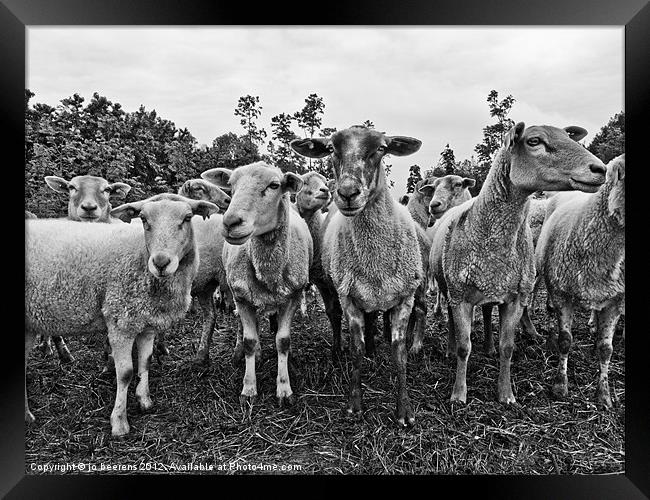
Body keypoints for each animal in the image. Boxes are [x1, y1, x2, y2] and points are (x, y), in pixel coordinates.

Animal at [25, 193, 218, 436]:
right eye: (143, 218)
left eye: (188, 217)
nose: (161, 263)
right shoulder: (120, 321)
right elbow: (125, 373)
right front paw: (119, 422)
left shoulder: (146, 323)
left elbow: (146, 362)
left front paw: (145, 401)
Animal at [204, 163, 312, 406]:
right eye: (231, 185)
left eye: (274, 185)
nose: (230, 222)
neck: (268, 272)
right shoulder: (242, 299)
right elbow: (250, 341)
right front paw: (249, 389)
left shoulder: (292, 296)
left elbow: (283, 340)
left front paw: (284, 389)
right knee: (243, 328)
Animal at [292, 125, 422, 426]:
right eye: (330, 149)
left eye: (381, 148)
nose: (347, 192)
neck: (374, 258)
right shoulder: (349, 297)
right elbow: (356, 349)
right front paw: (354, 405)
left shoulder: (404, 298)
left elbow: (399, 353)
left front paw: (404, 411)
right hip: (332, 285)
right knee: (334, 316)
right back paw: (336, 351)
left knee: (373, 318)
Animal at [428, 123, 604, 404]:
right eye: (534, 141)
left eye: (568, 137)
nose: (600, 169)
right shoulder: (461, 297)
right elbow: (465, 347)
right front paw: (458, 394)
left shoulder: (515, 299)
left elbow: (508, 348)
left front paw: (506, 393)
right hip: (450, 289)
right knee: (452, 324)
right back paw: (450, 349)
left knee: (487, 313)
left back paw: (488, 347)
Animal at [536, 153, 620, 406]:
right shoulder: (561, 292)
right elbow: (565, 340)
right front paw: (560, 386)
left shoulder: (616, 301)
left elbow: (607, 349)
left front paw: (604, 395)